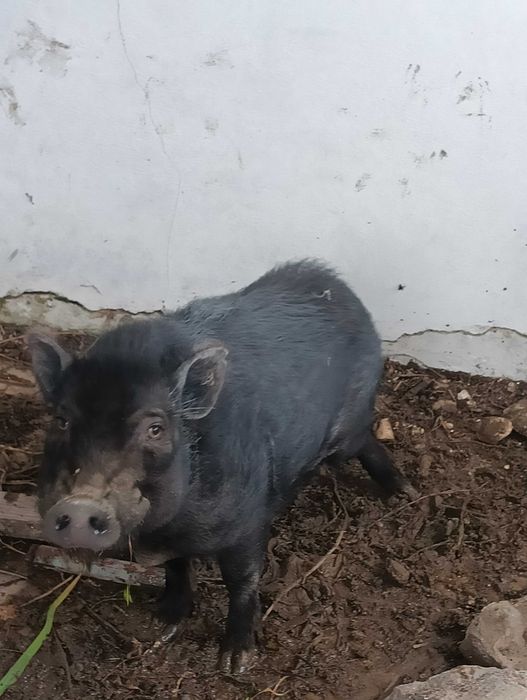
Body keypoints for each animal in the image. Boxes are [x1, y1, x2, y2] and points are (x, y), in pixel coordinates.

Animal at [28, 260, 414, 674]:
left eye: (155, 428)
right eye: (62, 421)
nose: (79, 504)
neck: (164, 530)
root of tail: (336, 285)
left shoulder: (247, 521)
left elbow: (242, 581)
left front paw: (235, 664)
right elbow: (177, 568)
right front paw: (162, 625)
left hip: (347, 433)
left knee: (366, 438)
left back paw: (404, 491)